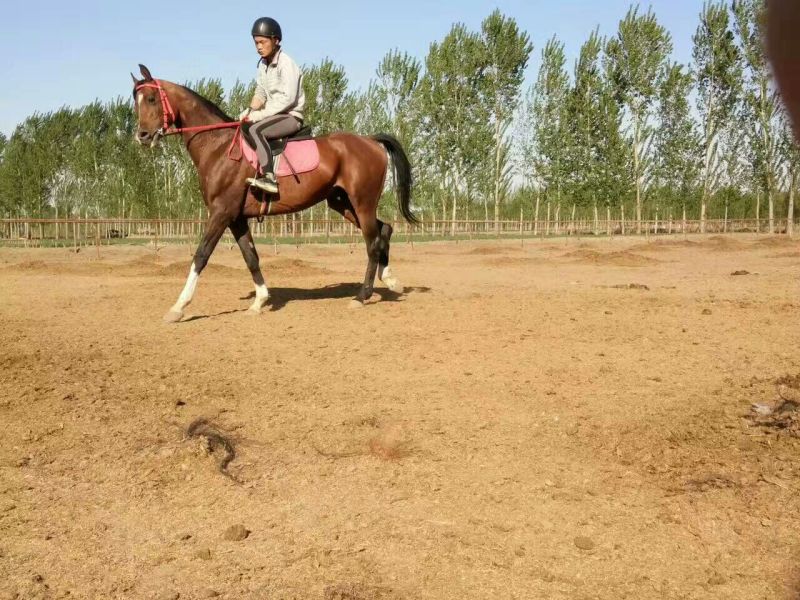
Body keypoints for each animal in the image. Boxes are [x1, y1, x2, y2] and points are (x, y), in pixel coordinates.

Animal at [131, 64, 417, 323]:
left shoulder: (221, 213)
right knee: (384, 229)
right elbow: (251, 257)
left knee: (372, 242)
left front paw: (178, 307)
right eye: (136, 102)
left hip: (363, 203)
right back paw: (390, 280)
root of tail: (370, 141)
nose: (142, 136)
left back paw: (362, 296)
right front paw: (259, 301)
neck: (219, 147)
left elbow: (201, 255)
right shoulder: (236, 217)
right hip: (342, 203)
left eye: (152, 99)